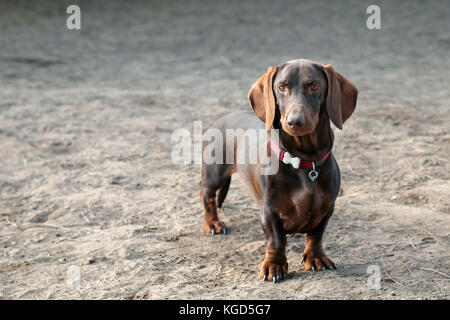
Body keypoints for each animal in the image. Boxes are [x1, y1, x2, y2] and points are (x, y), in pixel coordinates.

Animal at [201, 59, 358, 282]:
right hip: (214, 173)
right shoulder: (269, 210)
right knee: (207, 196)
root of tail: (222, 118)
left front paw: (316, 257)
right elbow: (276, 240)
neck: (303, 161)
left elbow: (316, 235)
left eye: (314, 85)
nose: (295, 122)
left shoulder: (327, 208)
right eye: (281, 87)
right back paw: (213, 223)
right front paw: (274, 266)